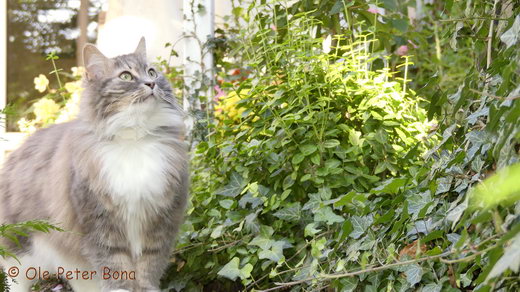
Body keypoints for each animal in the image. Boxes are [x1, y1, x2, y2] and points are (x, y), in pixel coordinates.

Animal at [0, 37, 189, 290]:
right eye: (126, 76)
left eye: (152, 72)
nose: (151, 83)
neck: (134, 140)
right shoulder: (100, 225)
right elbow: (117, 270)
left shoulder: (160, 222)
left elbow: (147, 270)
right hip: (22, 248)